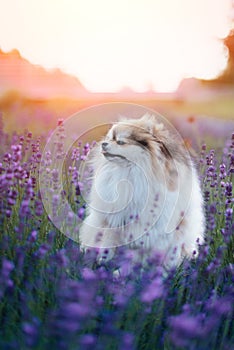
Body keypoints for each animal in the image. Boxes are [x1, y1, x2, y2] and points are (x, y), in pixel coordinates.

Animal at [79, 113, 205, 270]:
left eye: (120, 142)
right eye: (109, 138)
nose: (103, 144)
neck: (130, 172)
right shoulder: (113, 222)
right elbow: (109, 244)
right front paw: (104, 262)